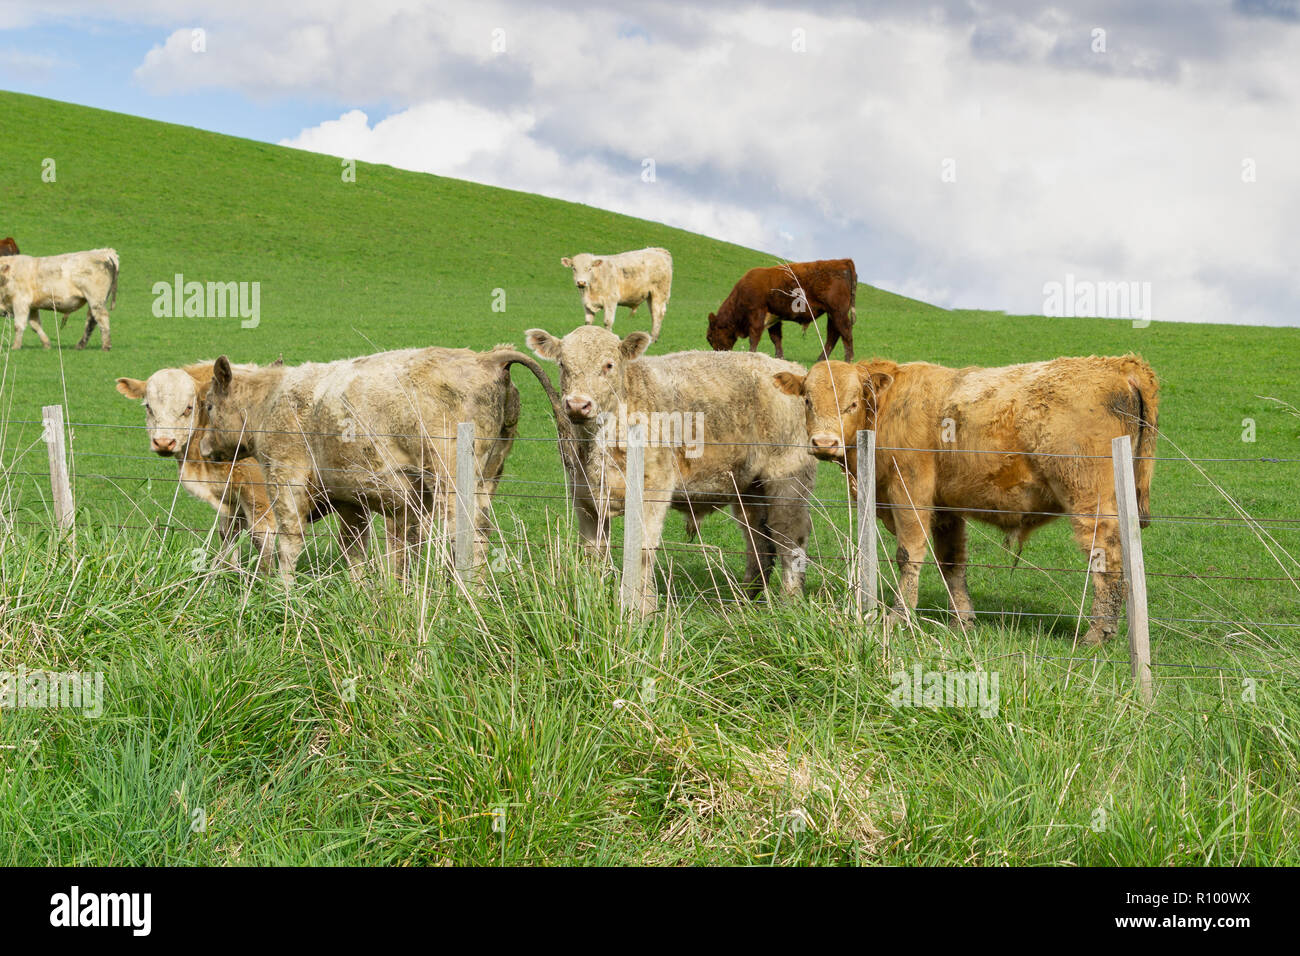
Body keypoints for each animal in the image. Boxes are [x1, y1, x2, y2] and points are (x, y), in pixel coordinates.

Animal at [199, 345, 562, 583]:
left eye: (209, 405)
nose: (202, 448)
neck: (269, 401)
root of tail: (487, 357)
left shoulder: (285, 478)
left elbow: (286, 542)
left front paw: (280, 592)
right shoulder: (350, 499)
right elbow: (356, 550)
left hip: (451, 484)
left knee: (466, 540)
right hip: (486, 479)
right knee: (480, 538)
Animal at [524, 324, 815, 614]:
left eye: (608, 365)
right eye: (563, 364)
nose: (577, 404)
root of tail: (790, 368)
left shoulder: (652, 492)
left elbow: (642, 551)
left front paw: (642, 609)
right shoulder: (586, 500)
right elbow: (593, 552)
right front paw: (594, 599)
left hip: (788, 481)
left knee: (790, 535)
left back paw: (790, 600)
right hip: (748, 489)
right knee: (758, 540)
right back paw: (742, 600)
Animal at [707, 259, 858, 362]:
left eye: (710, 337)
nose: (716, 354)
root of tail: (843, 261)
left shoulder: (757, 313)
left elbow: (754, 336)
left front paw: (752, 353)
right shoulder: (774, 316)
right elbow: (776, 338)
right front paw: (779, 357)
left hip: (838, 313)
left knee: (845, 333)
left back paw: (848, 360)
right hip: (832, 314)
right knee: (833, 335)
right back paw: (821, 359)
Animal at [773, 355, 1159, 645]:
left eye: (852, 403)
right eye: (807, 401)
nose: (824, 443)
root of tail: (1120, 365)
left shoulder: (908, 491)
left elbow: (909, 554)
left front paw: (899, 617)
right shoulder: (946, 508)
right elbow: (951, 563)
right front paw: (963, 621)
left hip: (1089, 499)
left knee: (1107, 558)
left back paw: (1098, 632)